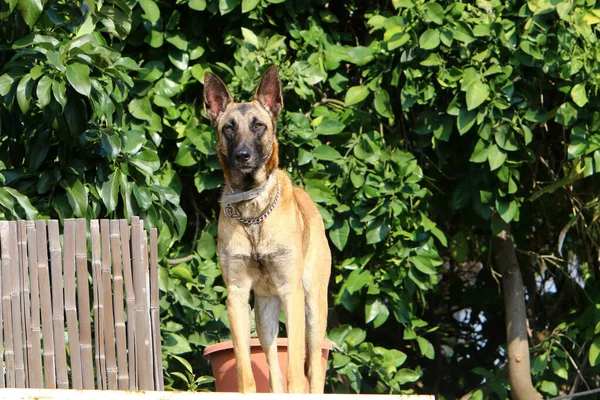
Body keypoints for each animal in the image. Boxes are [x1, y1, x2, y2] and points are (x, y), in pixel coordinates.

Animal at [204, 66, 330, 394]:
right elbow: (245, 367)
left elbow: (296, 370)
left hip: (313, 307)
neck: (254, 213)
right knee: (273, 367)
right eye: (229, 128)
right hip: (264, 316)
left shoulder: (291, 292)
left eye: (258, 125)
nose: (243, 156)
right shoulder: (236, 296)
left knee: (314, 368)